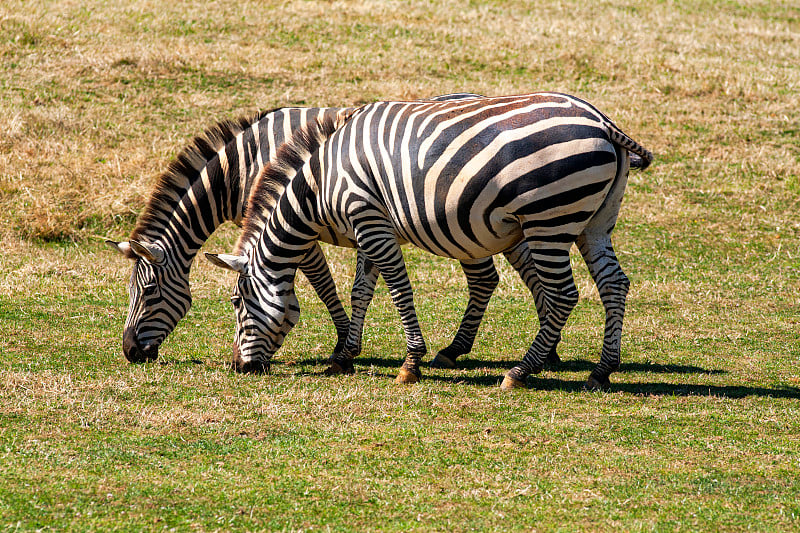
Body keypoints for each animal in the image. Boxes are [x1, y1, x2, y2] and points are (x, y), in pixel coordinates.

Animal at [104, 94, 564, 370]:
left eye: (148, 293)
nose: (130, 352)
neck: (243, 166)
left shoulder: (300, 230)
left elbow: (323, 285)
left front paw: (343, 343)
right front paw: (346, 344)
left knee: (497, 277)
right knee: (521, 274)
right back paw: (544, 349)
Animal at [209, 92, 652, 390]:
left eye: (236, 302)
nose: (238, 368)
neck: (319, 186)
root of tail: (602, 121)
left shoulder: (369, 218)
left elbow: (398, 290)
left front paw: (410, 363)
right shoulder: (367, 225)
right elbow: (361, 291)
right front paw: (345, 355)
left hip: (550, 219)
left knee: (563, 294)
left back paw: (520, 371)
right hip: (595, 222)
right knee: (614, 284)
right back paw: (601, 371)